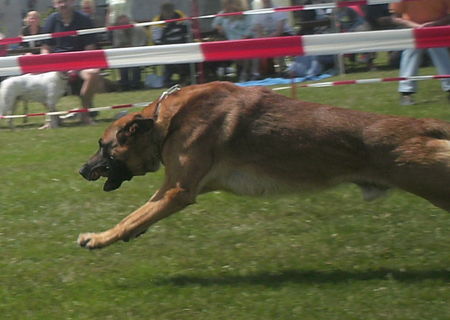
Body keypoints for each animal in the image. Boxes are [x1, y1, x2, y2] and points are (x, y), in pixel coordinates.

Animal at [78, 81, 450, 249]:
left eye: (103, 146)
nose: (81, 170)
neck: (162, 121)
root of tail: (422, 125)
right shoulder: (178, 188)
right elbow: (141, 215)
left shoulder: (177, 190)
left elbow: (132, 216)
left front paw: (98, 238)